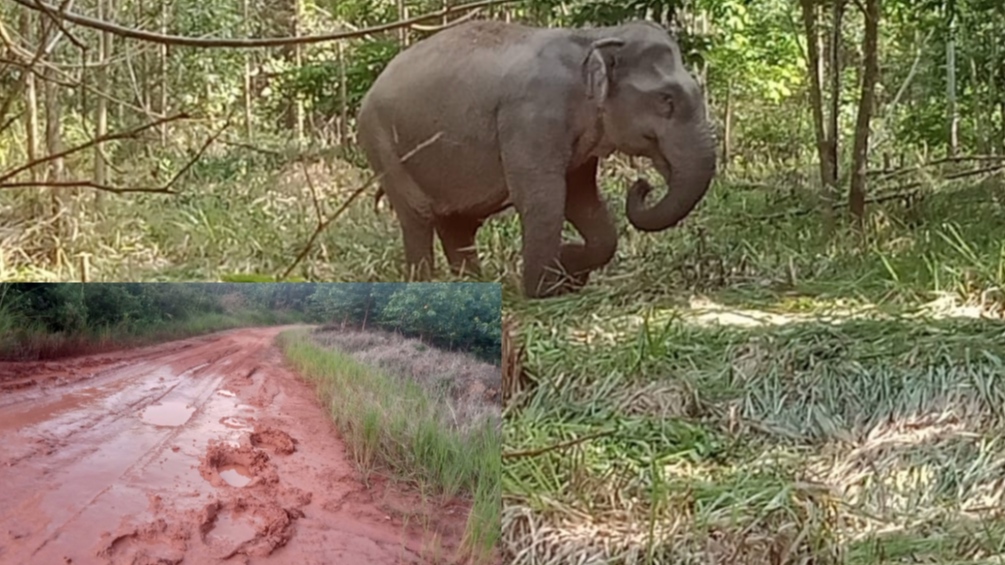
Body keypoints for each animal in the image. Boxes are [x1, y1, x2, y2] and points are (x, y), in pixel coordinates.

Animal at [357, 19, 719, 297]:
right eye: (666, 99)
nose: (644, 185)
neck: (593, 37)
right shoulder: (530, 116)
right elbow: (544, 197)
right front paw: (544, 290)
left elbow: (581, 200)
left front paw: (569, 268)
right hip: (382, 144)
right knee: (418, 216)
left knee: (458, 225)